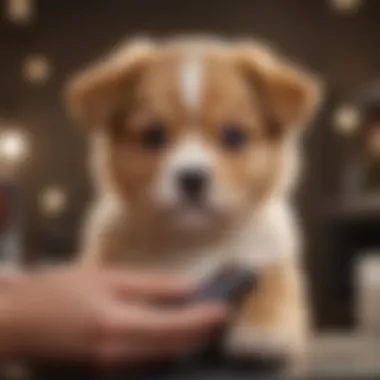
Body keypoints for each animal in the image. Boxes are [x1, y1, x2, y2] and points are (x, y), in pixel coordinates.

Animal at [65, 37, 320, 372]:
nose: (192, 179)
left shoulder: (269, 257)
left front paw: (262, 330)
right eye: (153, 135)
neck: (193, 240)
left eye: (233, 136)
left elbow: (273, 284)